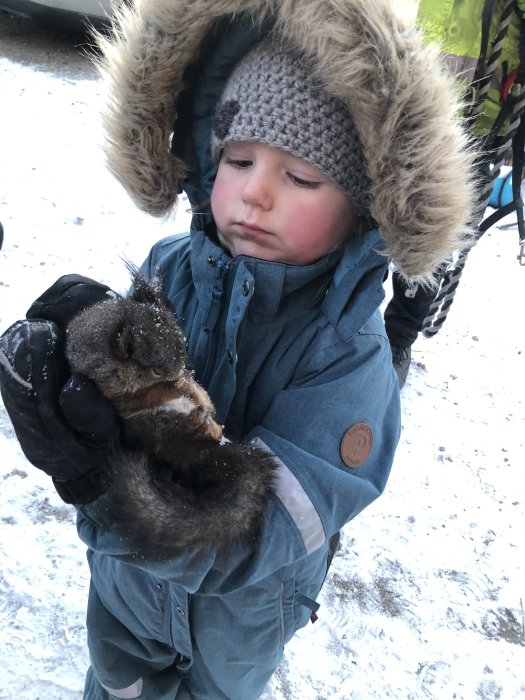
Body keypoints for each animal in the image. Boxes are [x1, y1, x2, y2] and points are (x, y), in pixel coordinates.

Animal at [65, 266, 276, 556]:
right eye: (155, 368)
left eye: (183, 346)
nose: (180, 371)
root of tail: (207, 452)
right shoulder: (122, 396)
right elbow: (153, 394)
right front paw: (175, 387)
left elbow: (189, 388)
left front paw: (192, 387)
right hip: (162, 425)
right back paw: (200, 422)